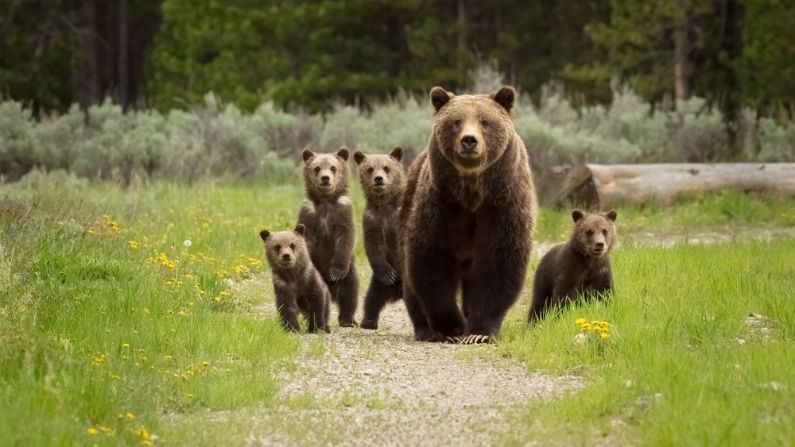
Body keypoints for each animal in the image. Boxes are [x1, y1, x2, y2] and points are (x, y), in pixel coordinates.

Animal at [298, 147, 360, 327]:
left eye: (333, 167)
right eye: (317, 168)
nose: (325, 178)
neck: (326, 201)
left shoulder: (343, 211)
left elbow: (346, 236)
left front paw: (336, 271)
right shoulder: (309, 213)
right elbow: (307, 238)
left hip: (350, 270)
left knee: (350, 290)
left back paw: (348, 319)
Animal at [353, 146, 406, 330]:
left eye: (386, 167)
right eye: (370, 168)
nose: (378, 179)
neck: (385, 204)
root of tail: (398, 292)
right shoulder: (372, 219)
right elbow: (373, 245)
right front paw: (388, 274)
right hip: (378, 283)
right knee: (372, 298)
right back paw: (368, 321)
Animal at [399, 86, 537, 344]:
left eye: (484, 121)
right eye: (456, 121)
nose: (469, 140)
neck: (472, 192)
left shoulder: (502, 206)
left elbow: (499, 262)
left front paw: (479, 331)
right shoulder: (441, 204)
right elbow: (432, 257)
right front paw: (451, 328)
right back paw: (424, 329)